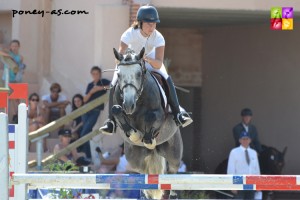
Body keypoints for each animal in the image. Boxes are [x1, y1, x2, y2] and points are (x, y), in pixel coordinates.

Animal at [109, 47, 182, 198]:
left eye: (138, 74)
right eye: (119, 75)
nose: (128, 105)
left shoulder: (159, 116)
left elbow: (150, 117)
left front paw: (148, 139)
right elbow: (116, 111)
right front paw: (135, 134)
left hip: (173, 159)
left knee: (168, 180)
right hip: (134, 161)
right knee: (145, 177)